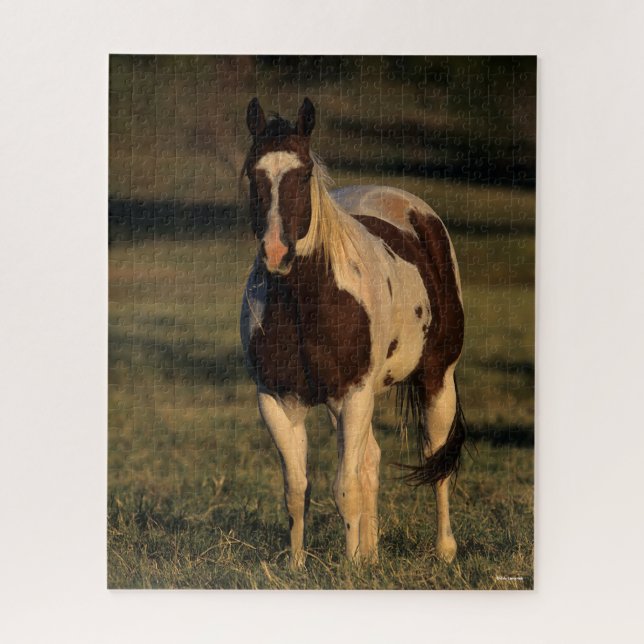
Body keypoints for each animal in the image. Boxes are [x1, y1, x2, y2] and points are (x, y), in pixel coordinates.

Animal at [239, 97, 466, 568]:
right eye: (252, 172)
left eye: (304, 172)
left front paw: (347, 569)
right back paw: (372, 554)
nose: (276, 253)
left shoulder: (354, 396)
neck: (306, 305)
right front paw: (299, 566)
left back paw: (444, 550)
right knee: (371, 461)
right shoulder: (278, 401)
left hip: (437, 379)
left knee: (435, 458)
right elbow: (297, 490)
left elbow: (344, 489)